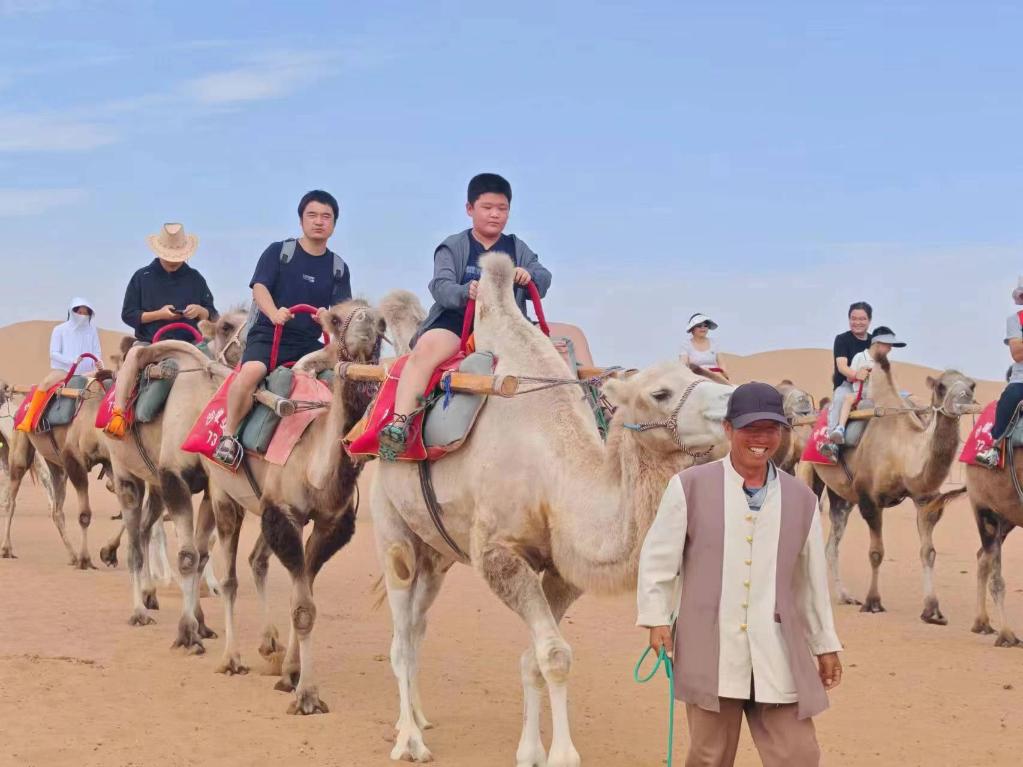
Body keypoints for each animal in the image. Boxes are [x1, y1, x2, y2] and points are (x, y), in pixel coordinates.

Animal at [203, 292, 420, 714]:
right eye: (334, 319)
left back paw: (267, 647)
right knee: (229, 577)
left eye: (382, 323)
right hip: (223, 493)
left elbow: (302, 597)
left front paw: (290, 675)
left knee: (256, 561)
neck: (316, 467)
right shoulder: (283, 514)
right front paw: (307, 695)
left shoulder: (327, 524)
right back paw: (231, 659)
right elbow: (303, 607)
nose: (366, 321)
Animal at [371, 253, 734, 765]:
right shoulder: (498, 554)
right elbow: (555, 655)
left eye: (702, 377)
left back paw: (420, 719)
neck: (553, 472)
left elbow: (534, 658)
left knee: (419, 627)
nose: (739, 399)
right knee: (401, 635)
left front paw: (530, 751)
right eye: (660, 392)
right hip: (392, 527)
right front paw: (562, 754)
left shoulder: (563, 570)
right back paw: (409, 741)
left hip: (437, 551)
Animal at [813, 352, 975, 623]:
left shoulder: (924, 499)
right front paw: (873, 602)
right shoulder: (869, 499)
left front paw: (932, 610)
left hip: (841, 495)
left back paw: (844, 596)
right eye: (941, 386)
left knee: (832, 542)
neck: (901, 452)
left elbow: (928, 552)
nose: (965, 399)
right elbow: (876, 552)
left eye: (972, 385)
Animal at [964, 432, 1023, 646]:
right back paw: (1006, 635)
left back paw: (982, 623)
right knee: (993, 572)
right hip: (985, 510)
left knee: (982, 557)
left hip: (1007, 518)